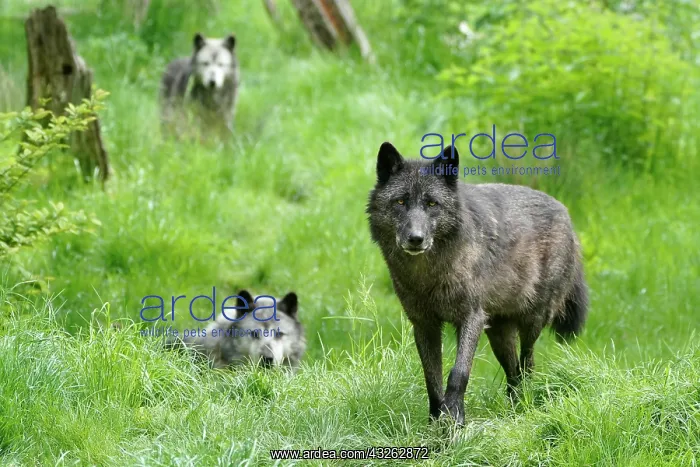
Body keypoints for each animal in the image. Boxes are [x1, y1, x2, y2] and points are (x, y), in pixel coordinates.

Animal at [366, 142, 588, 425]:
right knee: (513, 372)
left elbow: (458, 372)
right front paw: (436, 421)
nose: (416, 238)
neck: (429, 275)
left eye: (432, 203)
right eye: (401, 201)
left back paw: (524, 406)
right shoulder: (424, 324)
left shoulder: (471, 317)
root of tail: (565, 213)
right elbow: (431, 378)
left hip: (532, 322)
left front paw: (454, 417)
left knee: (527, 363)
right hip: (498, 334)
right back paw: (514, 407)